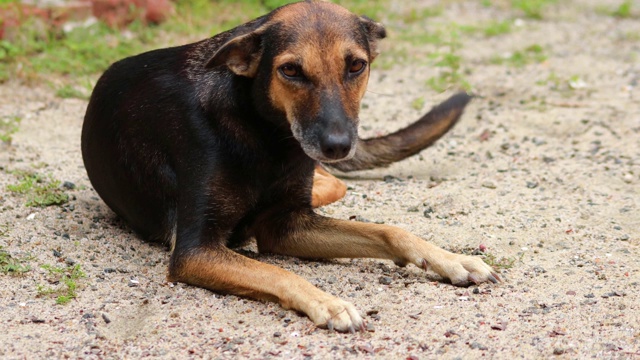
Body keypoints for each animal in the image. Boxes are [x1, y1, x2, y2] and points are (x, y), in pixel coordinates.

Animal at [81, 0, 500, 334]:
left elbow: (389, 231)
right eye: (291, 71)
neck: (267, 136)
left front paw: (452, 259)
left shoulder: (287, 226)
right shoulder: (195, 250)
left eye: (356, 66)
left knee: (334, 184)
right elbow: (277, 271)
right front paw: (329, 303)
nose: (337, 146)